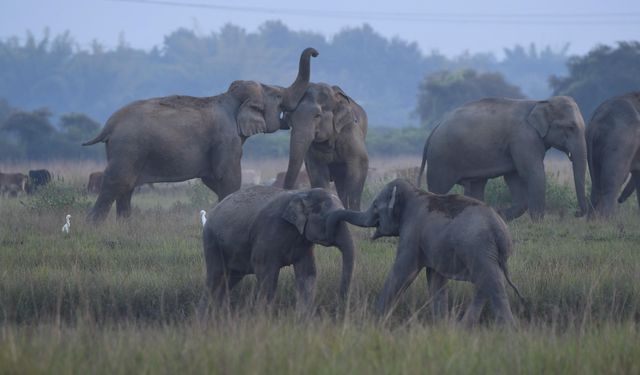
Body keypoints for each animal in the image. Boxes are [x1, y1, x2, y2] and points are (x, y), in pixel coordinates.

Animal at [82, 47, 318, 223]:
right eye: (278, 96)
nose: (315, 52)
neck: (230, 98)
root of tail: (109, 125)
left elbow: (211, 178)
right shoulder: (226, 138)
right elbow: (228, 176)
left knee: (126, 188)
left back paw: (125, 226)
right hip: (128, 148)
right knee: (116, 183)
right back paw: (93, 226)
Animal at [200, 186, 356, 314]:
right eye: (327, 218)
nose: (339, 305)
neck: (304, 193)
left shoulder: (304, 242)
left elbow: (307, 274)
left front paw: (302, 318)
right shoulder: (269, 231)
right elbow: (266, 273)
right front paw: (263, 317)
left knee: (229, 279)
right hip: (212, 241)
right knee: (216, 277)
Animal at [328, 179, 524, 326]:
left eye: (376, 205)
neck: (414, 192)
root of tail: (500, 229)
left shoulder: (412, 233)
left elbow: (404, 272)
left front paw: (375, 319)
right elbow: (435, 278)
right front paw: (442, 325)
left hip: (479, 249)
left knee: (492, 282)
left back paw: (508, 329)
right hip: (486, 252)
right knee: (485, 283)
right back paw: (464, 327)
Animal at [418, 95, 588, 222]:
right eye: (570, 127)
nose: (576, 213)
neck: (540, 102)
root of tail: (434, 129)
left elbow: (513, 177)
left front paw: (501, 215)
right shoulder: (523, 138)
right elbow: (532, 173)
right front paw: (538, 222)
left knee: (476, 185)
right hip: (440, 159)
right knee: (438, 188)